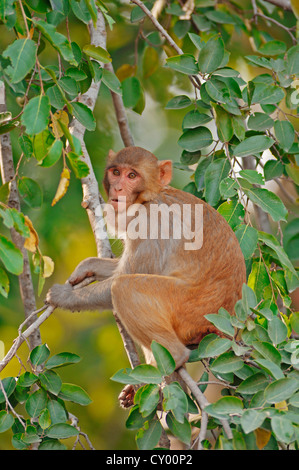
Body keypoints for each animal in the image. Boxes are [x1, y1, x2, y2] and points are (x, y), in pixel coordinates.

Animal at [47, 146, 247, 374]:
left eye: (132, 176)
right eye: (116, 172)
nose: (117, 188)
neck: (148, 198)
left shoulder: (149, 222)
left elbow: (125, 276)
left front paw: (63, 296)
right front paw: (87, 266)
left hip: (188, 308)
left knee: (123, 287)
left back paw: (174, 358)